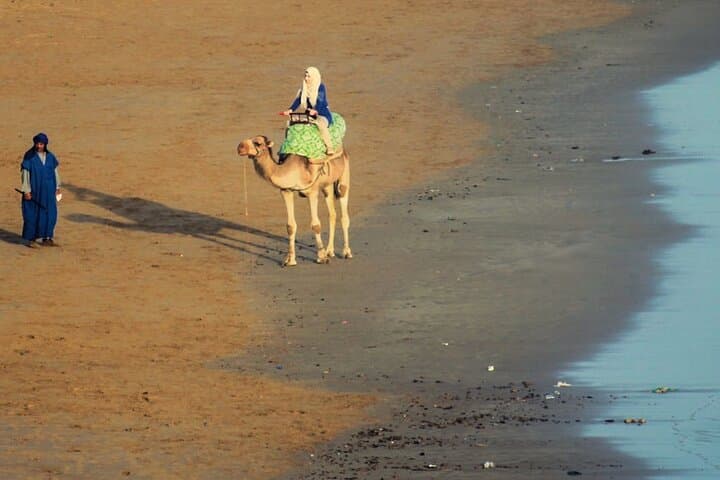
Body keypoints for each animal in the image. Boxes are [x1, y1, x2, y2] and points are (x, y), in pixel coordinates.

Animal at [236, 135, 351, 266]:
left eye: (258, 143)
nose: (240, 147)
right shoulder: (286, 191)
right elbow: (290, 226)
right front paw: (290, 260)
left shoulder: (312, 192)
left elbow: (316, 225)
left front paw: (321, 257)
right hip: (327, 185)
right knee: (332, 214)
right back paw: (330, 251)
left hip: (344, 176)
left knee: (344, 213)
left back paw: (346, 252)